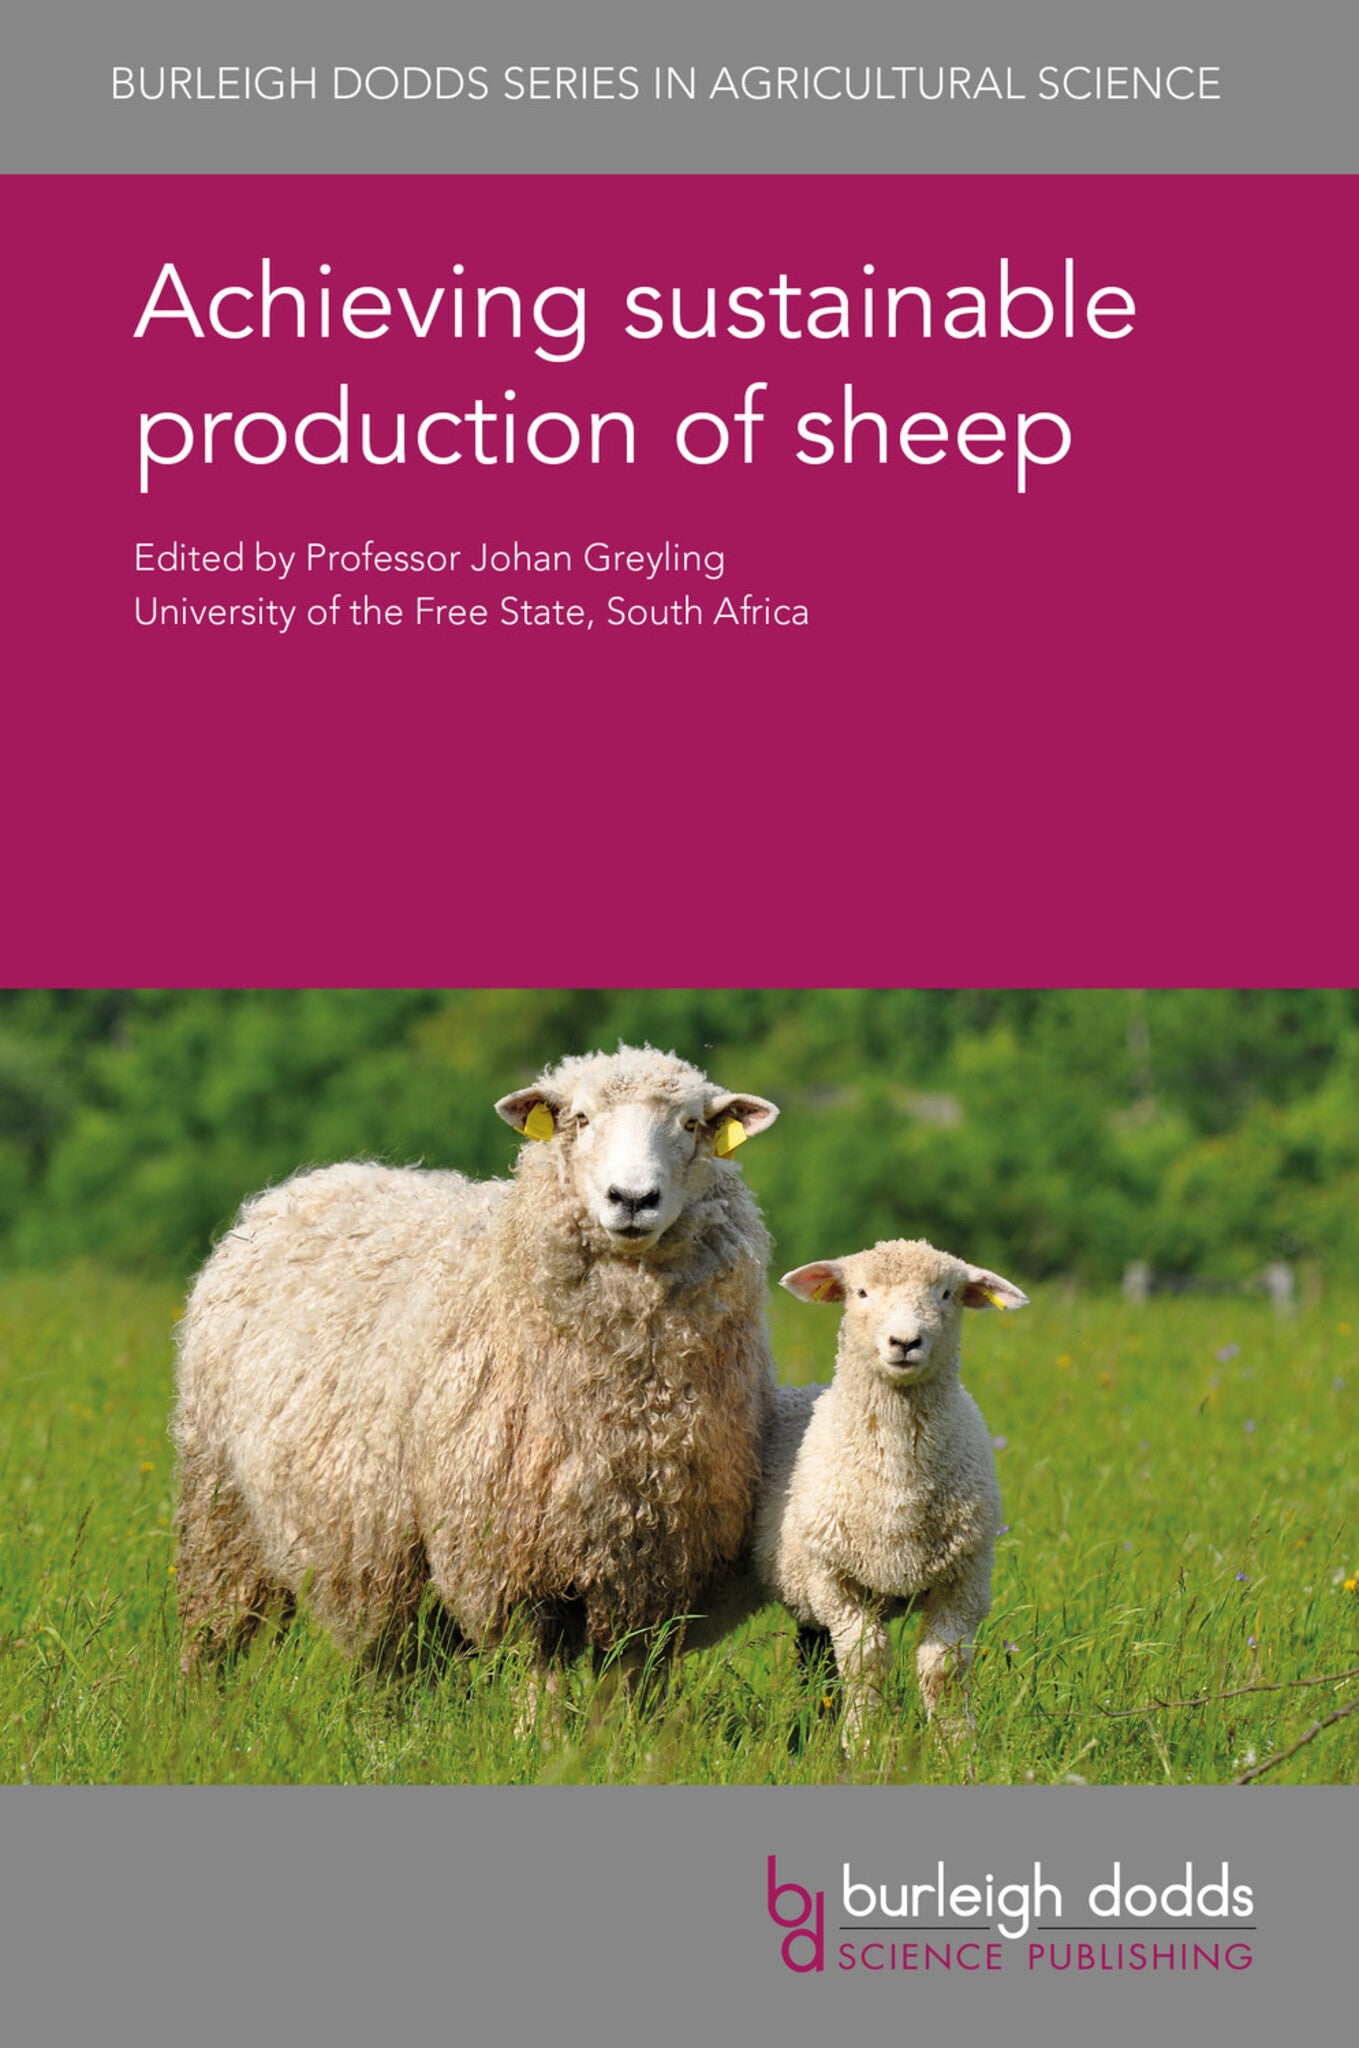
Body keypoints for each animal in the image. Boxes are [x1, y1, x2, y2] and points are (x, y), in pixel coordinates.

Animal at [172, 1045, 780, 1688]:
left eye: (690, 1124)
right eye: (581, 1118)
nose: (633, 1199)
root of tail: (306, 1182)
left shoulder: (652, 1574)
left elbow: (626, 1688)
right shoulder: (511, 1567)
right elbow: (540, 1682)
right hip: (220, 1505)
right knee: (213, 1634)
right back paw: (198, 1704)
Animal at [755, 1238, 1027, 1745]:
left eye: (946, 1293)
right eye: (861, 1292)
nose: (904, 1343)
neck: (898, 1489)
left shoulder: (965, 1581)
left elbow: (942, 1668)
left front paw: (956, 1746)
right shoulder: (836, 1580)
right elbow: (866, 1662)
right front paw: (862, 1741)